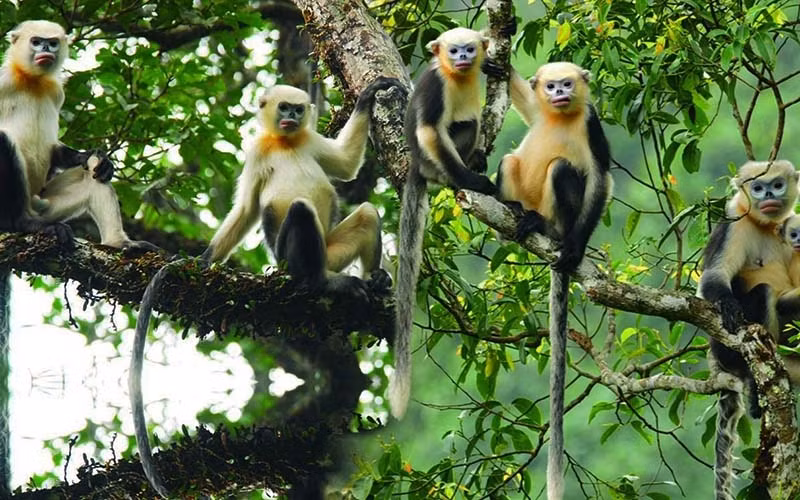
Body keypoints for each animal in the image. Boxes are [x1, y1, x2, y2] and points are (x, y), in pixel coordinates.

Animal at [130, 78, 400, 498]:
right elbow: (245, 210)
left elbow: (344, 165)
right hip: (291, 256)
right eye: (283, 108)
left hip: (333, 249)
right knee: (301, 211)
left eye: (297, 109)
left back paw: (376, 281)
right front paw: (203, 261)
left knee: (368, 213)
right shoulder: (257, 152)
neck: (286, 143)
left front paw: (370, 95)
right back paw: (323, 282)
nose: (290, 118)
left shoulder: (309, 139)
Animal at [390, 27, 497, 420]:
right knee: (460, 126)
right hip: (433, 161)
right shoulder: (436, 88)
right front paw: (471, 181)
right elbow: (430, 131)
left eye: (468, 49)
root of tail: (417, 167)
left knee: (474, 120)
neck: (457, 77)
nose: (464, 57)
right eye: (453, 51)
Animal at [492, 62, 612, 500]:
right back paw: (514, 218)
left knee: (562, 170)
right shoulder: (539, 110)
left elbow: (601, 179)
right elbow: (528, 110)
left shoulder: (593, 125)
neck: (561, 117)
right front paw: (496, 65)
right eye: (551, 86)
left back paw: (551, 233)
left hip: (559, 211)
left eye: (568, 84)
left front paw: (576, 250)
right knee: (509, 161)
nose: (559, 93)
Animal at [698, 160, 799, 500]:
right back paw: (753, 380)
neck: (766, 226)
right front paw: (729, 305)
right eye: (757, 187)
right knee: (765, 293)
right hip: (726, 349)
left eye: (777, 185)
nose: (767, 194)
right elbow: (713, 278)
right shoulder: (733, 223)